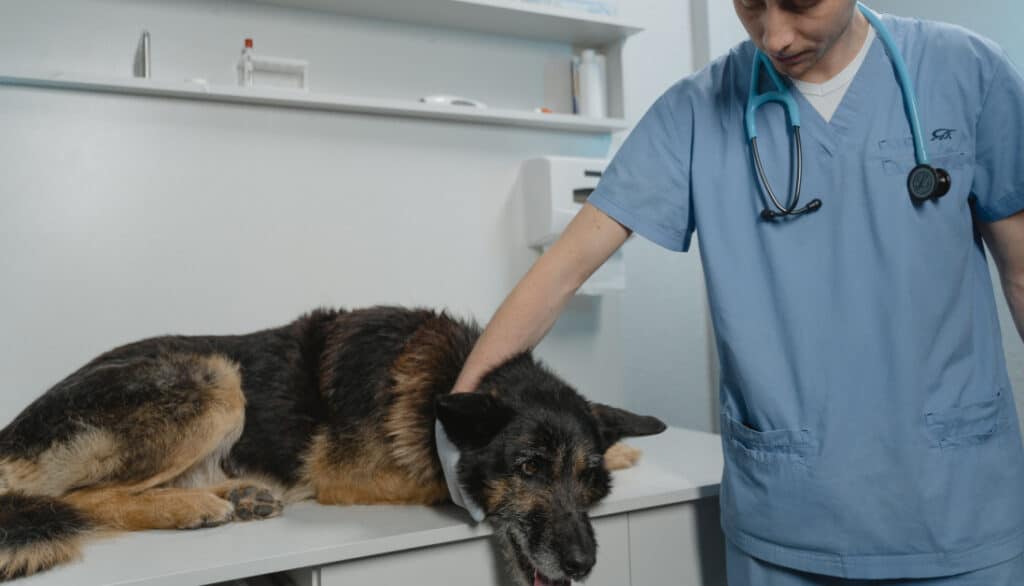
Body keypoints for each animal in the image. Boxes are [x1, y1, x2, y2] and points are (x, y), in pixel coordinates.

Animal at [0, 307, 663, 581]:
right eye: (528, 468)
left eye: (587, 481)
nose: (583, 566)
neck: (444, 378)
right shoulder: (350, 477)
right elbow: (437, 476)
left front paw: (624, 448)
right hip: (215, 376)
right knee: (80, 497)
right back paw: (189, 506)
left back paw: (239, 495)